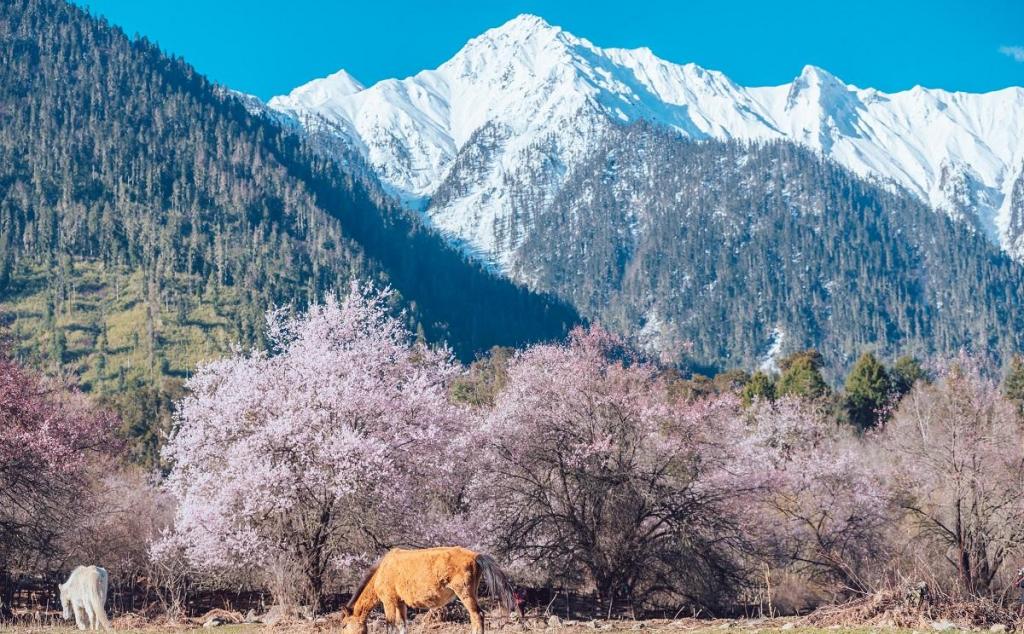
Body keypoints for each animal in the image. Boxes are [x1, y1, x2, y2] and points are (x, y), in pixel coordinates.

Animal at [342, 544, 520, 634]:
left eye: (343, 625)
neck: (382, 571)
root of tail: (475, 556)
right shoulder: (400, 603)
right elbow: (402, 625)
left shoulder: (389, 602)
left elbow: (390, 625)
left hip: (465, 593)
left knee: (477, 616)